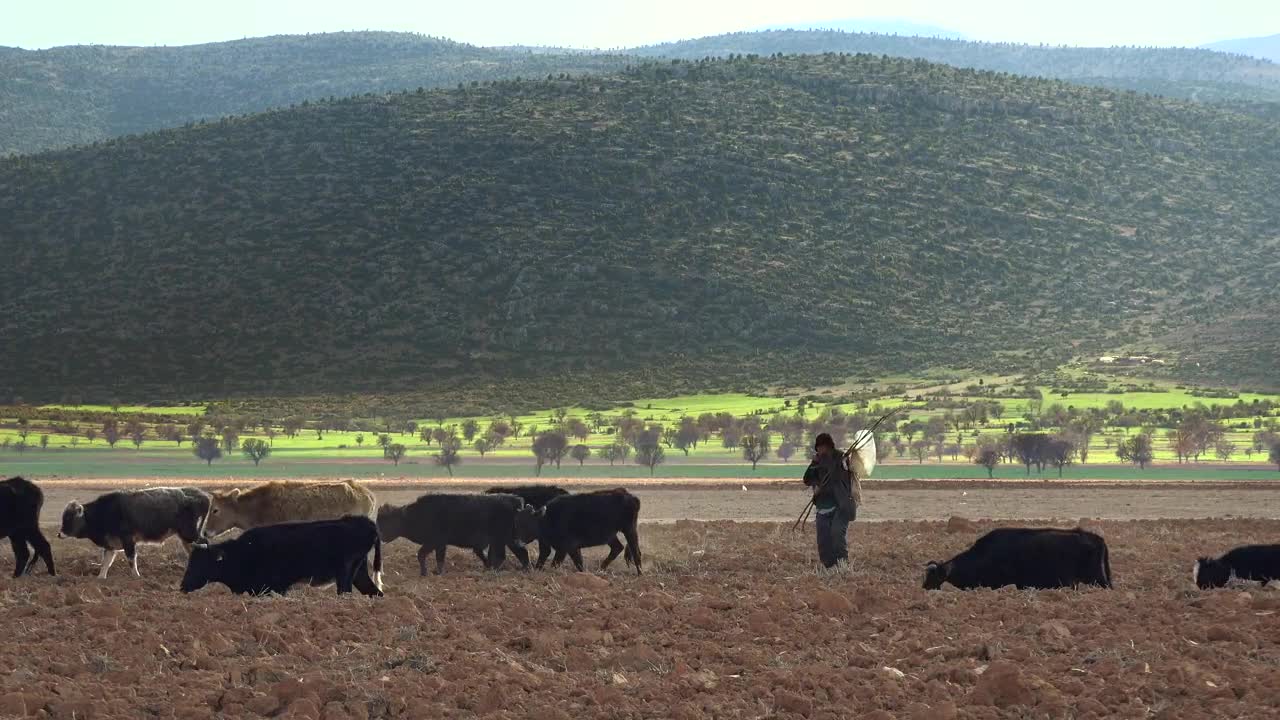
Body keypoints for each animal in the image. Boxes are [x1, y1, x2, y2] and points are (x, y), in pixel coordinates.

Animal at [58, 481, 209, 576]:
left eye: (69, 518)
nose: (59, 534)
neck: (104, 512)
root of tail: (200, 495)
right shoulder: (110, 544)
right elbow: (105, 563)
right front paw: (100, 578)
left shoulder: (128, 540)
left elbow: (131, 559)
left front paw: (136, 576)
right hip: (187, 536)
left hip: (190, 534)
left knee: (203, 545)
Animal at [177, 515, 381, 594]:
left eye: (201, 563)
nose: (183, 586)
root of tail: (364, 522)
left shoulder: (273, 588)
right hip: (360, 573)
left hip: (346, 573)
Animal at [376, 489, 542, 573]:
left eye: (386, 521)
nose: (380, 536)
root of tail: (515, 500)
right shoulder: (440, 544)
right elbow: (439, 558)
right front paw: (437, 571)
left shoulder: (434, 542)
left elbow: (422, 555)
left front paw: (426, 572)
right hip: (506, 540)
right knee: (517, 553)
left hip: (504, 540)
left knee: (511, 554)